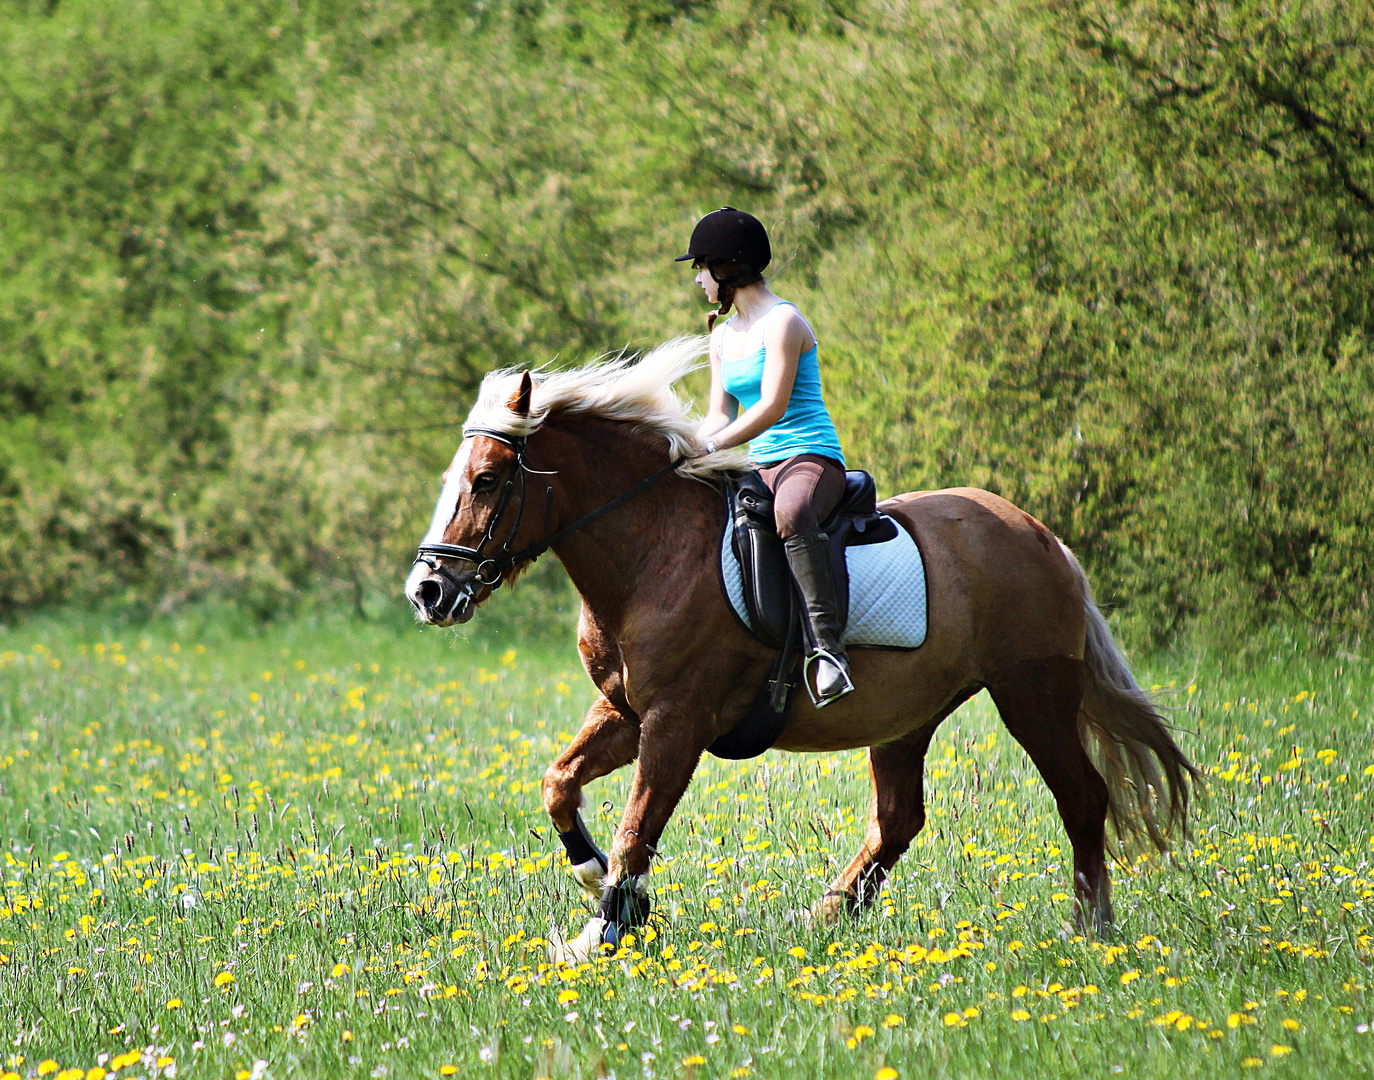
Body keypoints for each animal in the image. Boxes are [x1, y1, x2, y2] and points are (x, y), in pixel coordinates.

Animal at [401, 339, 1198, 961]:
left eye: (488, 480)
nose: (428, 591)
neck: (653, 551)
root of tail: (1040, 537)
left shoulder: (677, 721)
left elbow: (636, 828)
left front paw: (606, 926)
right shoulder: (626, 711)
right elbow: (559, 784)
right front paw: (599, 884)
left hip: (1031, 693)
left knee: (1081, 797)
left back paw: (1088, 929)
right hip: (909, 715)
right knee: (897, 819)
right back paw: (823, 915)